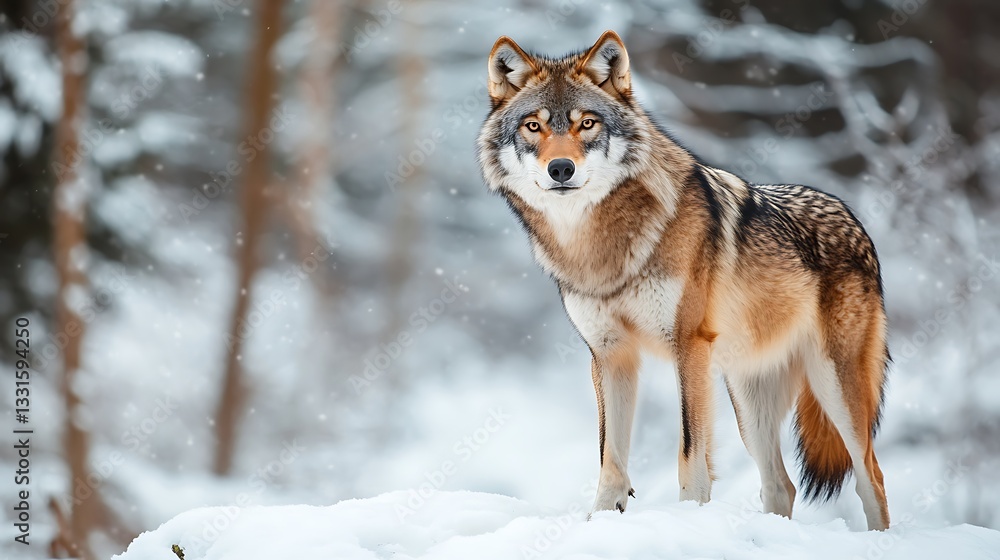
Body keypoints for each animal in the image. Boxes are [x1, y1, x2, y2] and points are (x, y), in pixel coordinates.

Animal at [477, 30, 891, 530]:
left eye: (587, 124)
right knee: (781, 485)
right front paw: (601, 522)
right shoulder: (609, 356)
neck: (601, 248)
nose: (561, 169)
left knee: (872, 478)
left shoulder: (687, 346)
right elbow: (610, 458)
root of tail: (853, 217)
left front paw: (689, 515)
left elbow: (690, 453)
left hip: (834, 388)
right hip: (747, 401)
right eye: (533, 127)